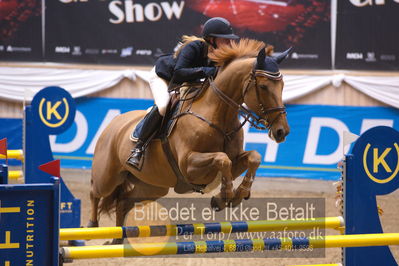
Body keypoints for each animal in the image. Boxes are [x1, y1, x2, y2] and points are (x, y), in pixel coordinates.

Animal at [90, 39, 290, 229]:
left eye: (282, 85)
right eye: (263, 87)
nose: (282, 132)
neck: (218, 115)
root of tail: (113, 124)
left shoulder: (234, 162)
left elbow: (253, 157)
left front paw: (238, 195)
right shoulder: (188, 165)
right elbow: (222, 158)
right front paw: (224, 197)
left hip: (152, 185)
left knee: (123, 202)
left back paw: (118, 238)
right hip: (108, 177)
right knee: (95, 192)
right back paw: (91, 225)